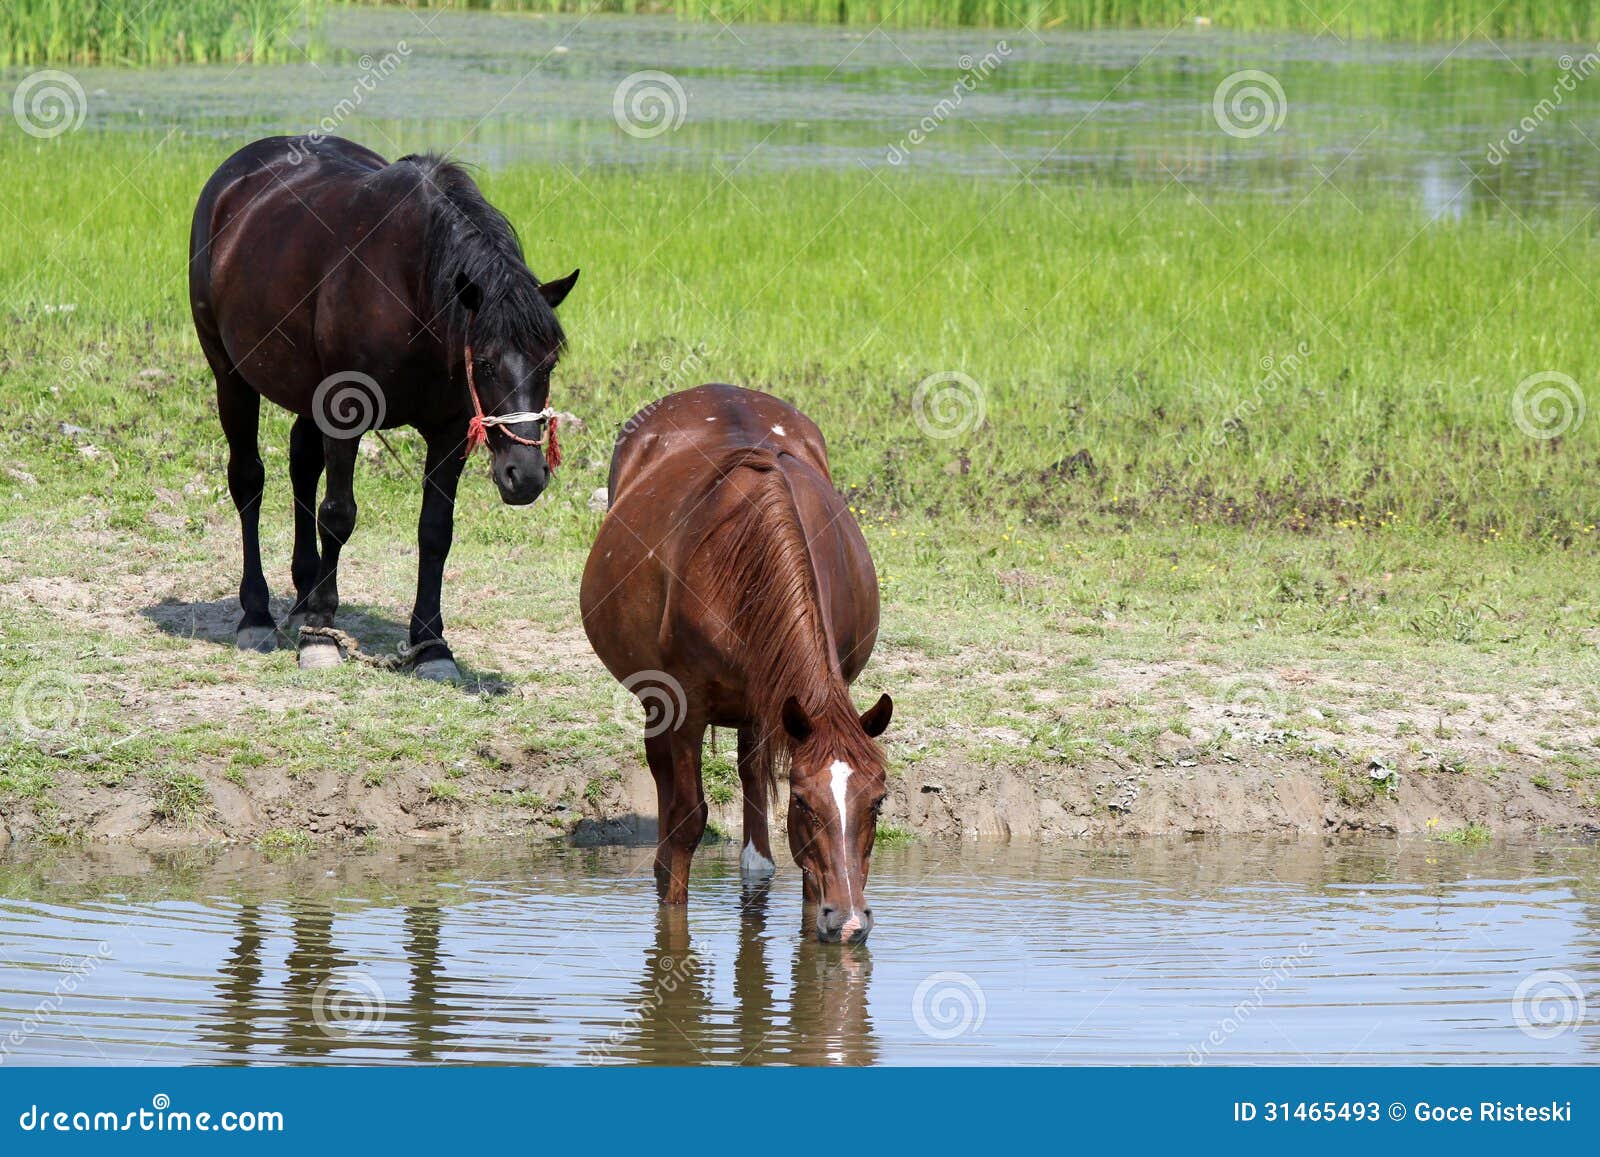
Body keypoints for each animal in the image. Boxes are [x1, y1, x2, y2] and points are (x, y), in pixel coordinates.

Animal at [188, 135, 579, 681]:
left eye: (550, 361)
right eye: (484, 361)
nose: (524, 475)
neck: (410, 286)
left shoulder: (449, 430)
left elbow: (435, 530)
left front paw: (431, 645)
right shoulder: (344, 410)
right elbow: (338, 516)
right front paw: (320, 636)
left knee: (301, 464)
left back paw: (302, 598)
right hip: (230, 374)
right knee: (248, 480)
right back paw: (258, 614)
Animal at [580, 383, 893, 943]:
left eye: (877, 801)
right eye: (804, 802)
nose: (850, 920)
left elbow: (803, 862)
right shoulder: (684, 705)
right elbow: (686, 824)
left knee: (750, 770)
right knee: (663, 772)